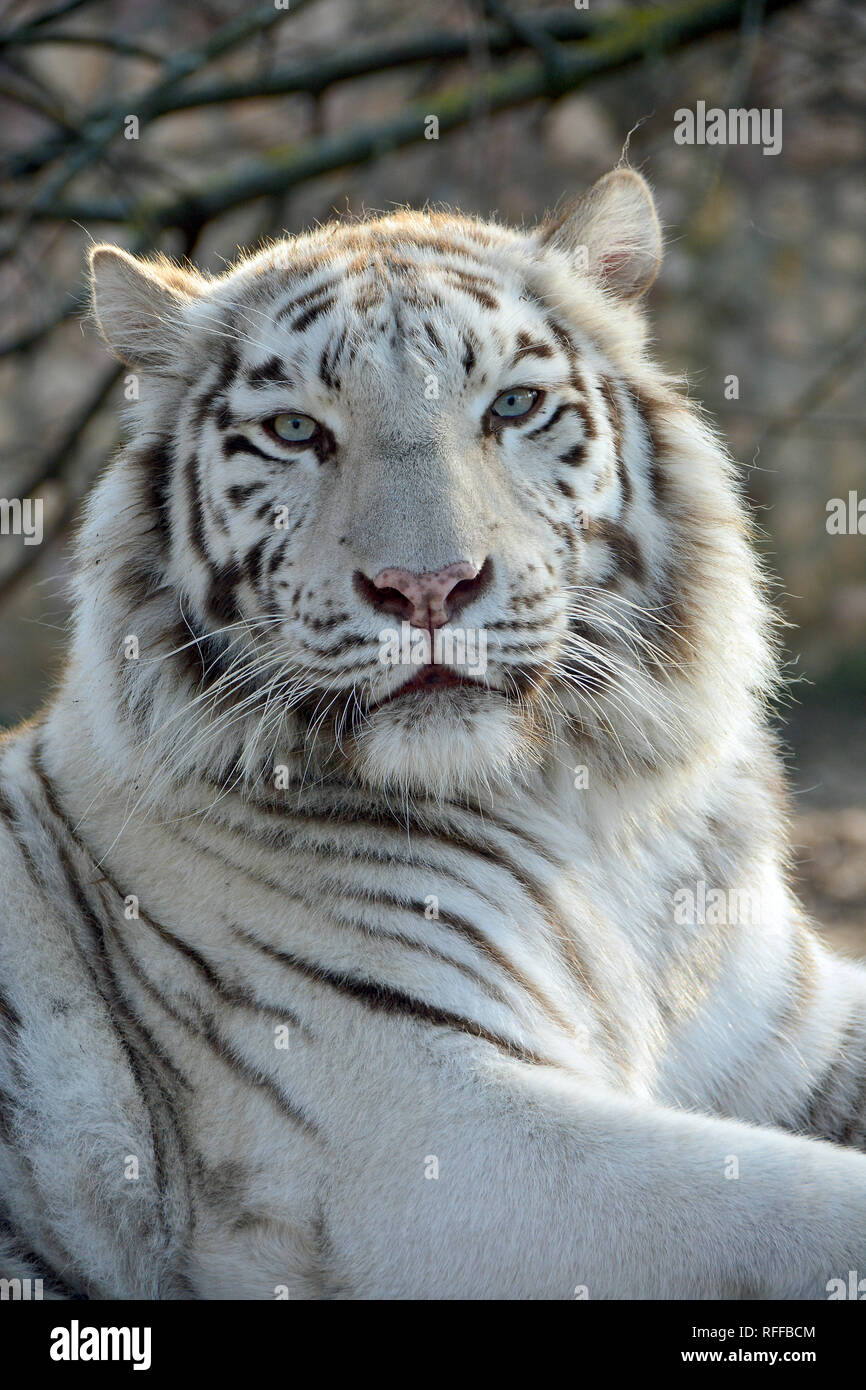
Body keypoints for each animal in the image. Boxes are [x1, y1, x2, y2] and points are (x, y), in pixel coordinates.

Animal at [1, 168, 866, 1295]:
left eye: (512, 406)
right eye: (295, 431)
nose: (427, 587)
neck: (591, 816)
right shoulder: (429, 1132)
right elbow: (804, 1207)